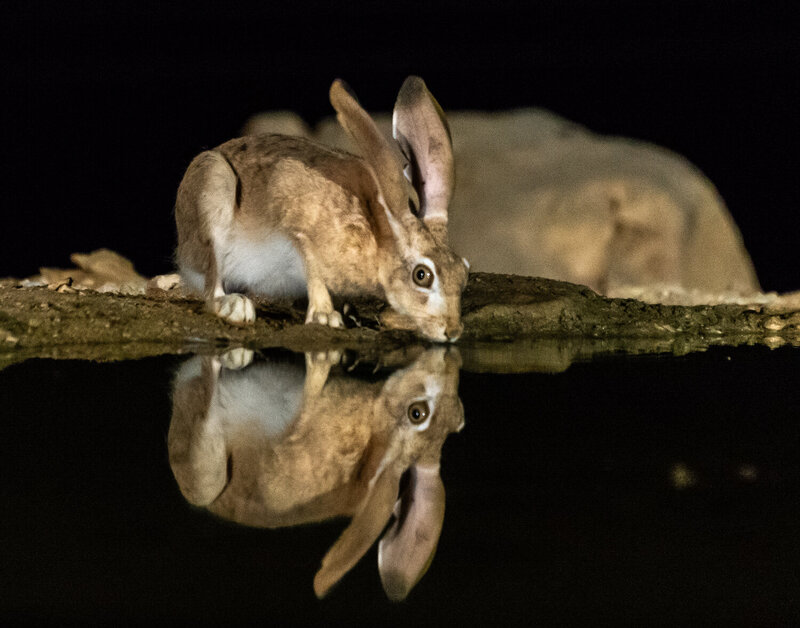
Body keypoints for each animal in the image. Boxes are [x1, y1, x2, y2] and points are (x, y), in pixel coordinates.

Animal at [168, 346, 464, 601]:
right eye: (460, 419)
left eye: (417, 413)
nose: (449, 359)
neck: (372, 422)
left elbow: (313, 387)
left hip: (206, 476)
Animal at [174, 76, 469, 342]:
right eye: (422, 276)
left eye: (464, 272)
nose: (453, 332)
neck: (379, 232)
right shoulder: (298, 227)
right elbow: (314, 271)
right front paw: (325, 316)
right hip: (214, 187)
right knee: (211, 288)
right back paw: (234, 306)